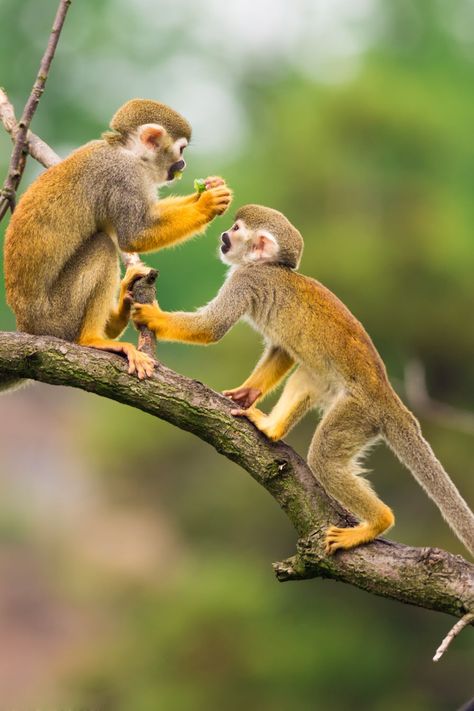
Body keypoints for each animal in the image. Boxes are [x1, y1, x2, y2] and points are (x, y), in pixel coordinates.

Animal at [2, 97, 232, 390]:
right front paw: (207, 204)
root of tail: (26, 326)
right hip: (56, 317)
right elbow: (134, 234)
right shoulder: (124, 177)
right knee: (103, 246)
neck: (128, 153)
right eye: (180, 150)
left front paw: (210, 188)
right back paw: (93, 339)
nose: (182, 164)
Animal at [132, 203, 474, 560]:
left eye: (236, 229)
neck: (268, 267)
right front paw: (247, 393)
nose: (224, 236)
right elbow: (282, 350)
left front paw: (151, 315)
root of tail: (389, 398)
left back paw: (378, 522)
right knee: (308, 375)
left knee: (324, 458)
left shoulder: (246, 280)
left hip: (358, 412)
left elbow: (212, 328)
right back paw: (272, 429)